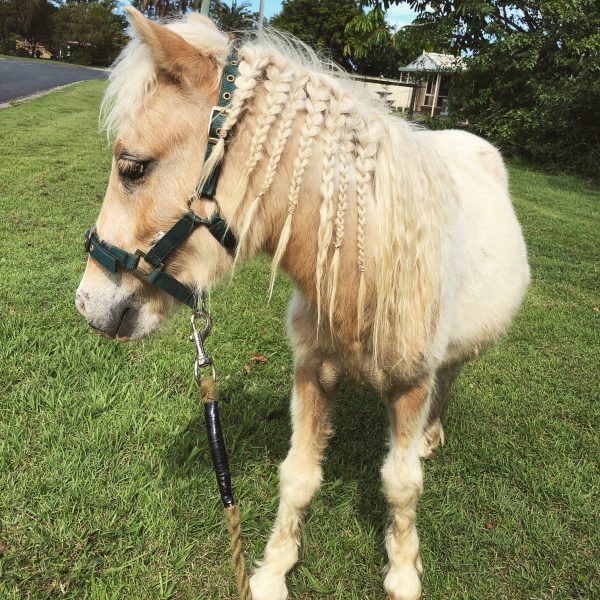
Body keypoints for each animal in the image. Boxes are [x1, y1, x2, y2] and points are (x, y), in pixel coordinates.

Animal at [76, 8, 528, 600]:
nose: (89, 304)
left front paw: (403, 571)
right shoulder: (312, 372)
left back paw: (431, 435)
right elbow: (298, 476)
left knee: (449, 378)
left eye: (132, 167)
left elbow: (402, 484)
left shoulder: (411, 387)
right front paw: (272, 570)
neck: (365, 266)